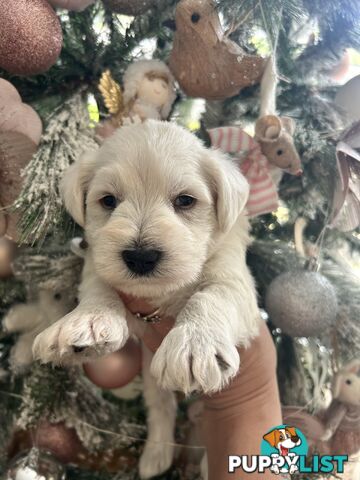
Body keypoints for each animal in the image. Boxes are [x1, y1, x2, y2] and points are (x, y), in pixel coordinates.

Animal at [33, 119, 258, 476]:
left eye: (185, 201)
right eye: (108, 201)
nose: (140, 257)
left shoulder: (234, 277)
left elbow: (212, 295)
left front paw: (194, 342)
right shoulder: (96, 260)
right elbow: (99, 286)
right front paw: (86, 321)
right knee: (161, 406)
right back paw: (156, 455)